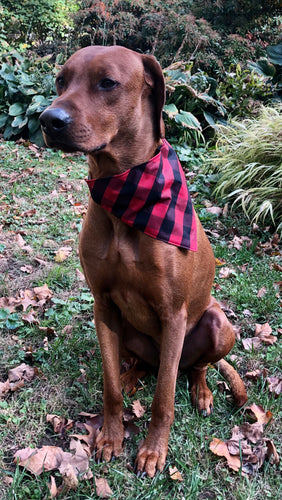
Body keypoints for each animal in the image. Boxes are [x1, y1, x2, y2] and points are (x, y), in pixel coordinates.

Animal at [39, 46, 247, 476]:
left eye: (107, 83)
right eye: (60, 82)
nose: (49, 120)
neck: (126, 194)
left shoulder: (173, 313)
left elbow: (164, 399)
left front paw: (153, 451)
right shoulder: (103, 305)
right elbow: (109, 386)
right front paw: (111, 436)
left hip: (217, 325)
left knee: (193, 367)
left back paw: (201, 390)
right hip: (131, 333)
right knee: (142, 364)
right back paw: (133, 374)